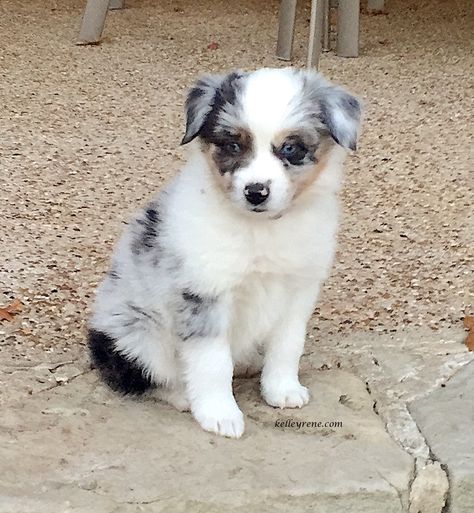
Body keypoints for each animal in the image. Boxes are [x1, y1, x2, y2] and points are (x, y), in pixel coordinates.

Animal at [89, 67, 362, 436]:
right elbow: (212, 363)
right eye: (233, 145)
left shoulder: (299, 289)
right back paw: (183, 396)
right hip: (138, 332)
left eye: (291, 148)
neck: (261, 229)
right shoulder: (205, 293)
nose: (256, 192)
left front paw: (282, 390)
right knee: (146, 374)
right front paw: (219, 414)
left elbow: (288, 345)